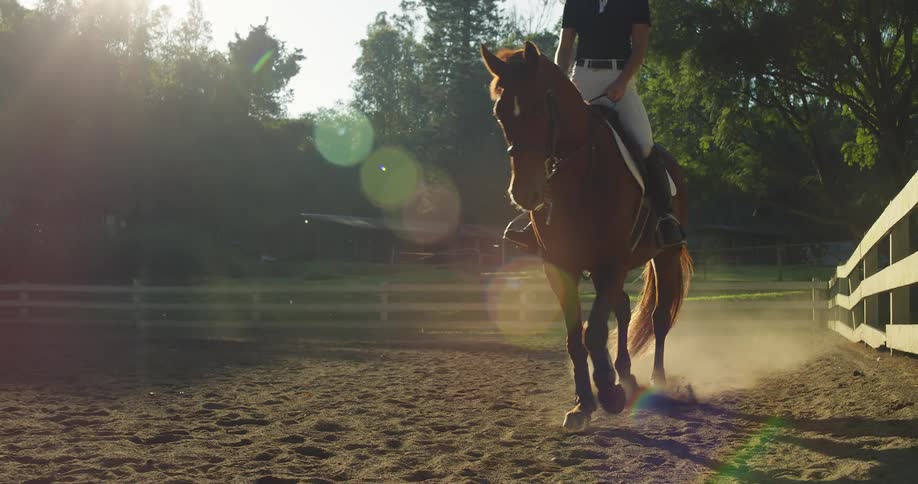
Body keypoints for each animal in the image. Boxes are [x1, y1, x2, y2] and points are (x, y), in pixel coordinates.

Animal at [481, 41, 693, 431]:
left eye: (540, 108)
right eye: (500, 113)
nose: (526, 194)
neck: (576, 174)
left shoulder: (611, 262)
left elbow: (593, 332)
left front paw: (607, 394)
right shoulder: (560, 266)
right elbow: (575, 337)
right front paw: (583, 403)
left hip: (664, 255)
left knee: (657, 317)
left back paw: (655, 379)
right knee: (622, 309)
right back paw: (625, 374)